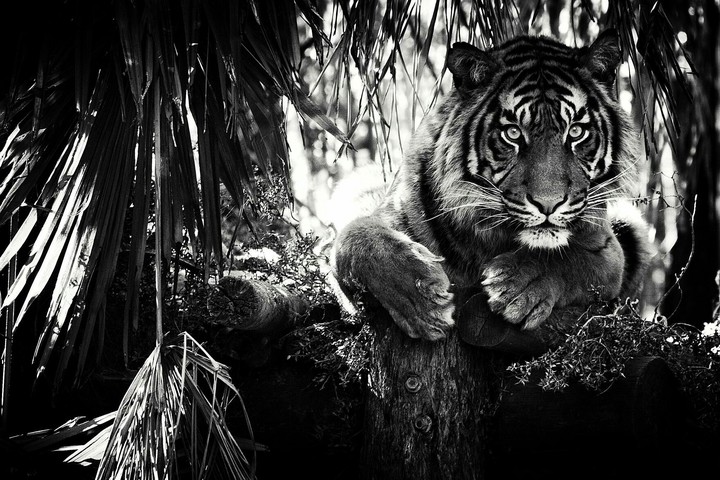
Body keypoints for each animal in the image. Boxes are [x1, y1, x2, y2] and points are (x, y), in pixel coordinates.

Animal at [331, 29, 652, 342]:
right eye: (512, 133)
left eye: (575, 132)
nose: (548, 204)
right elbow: (355, 239)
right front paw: (422, 299)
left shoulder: (607, 250)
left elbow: (568, 256)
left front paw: (518, 285)